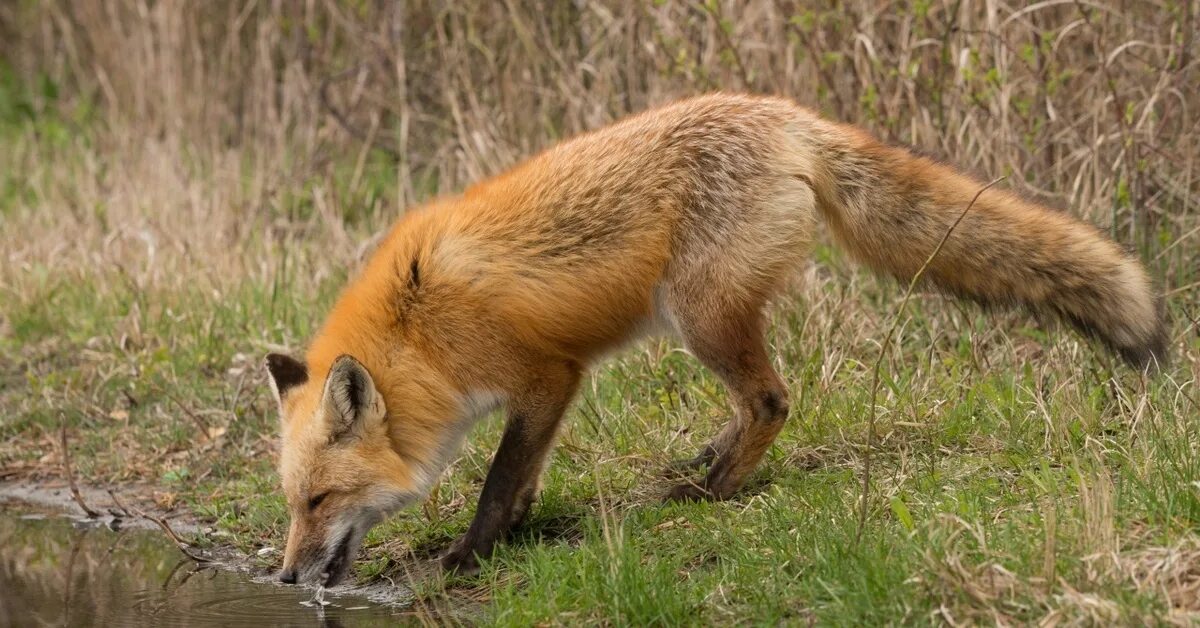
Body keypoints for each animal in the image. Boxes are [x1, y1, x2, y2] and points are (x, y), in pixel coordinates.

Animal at [262, 94, 1161, 590]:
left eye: (320, 501)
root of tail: (784, 114)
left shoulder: (548, 376)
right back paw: (706, 462)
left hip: (700, 315)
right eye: (293, 503)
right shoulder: (540, 390)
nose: (284, 575)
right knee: (753, 403)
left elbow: (498, 483)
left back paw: (714, 490)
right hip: (699, 318)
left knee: (772, 400)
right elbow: (519, 482)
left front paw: (466, 558)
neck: (416, 329)